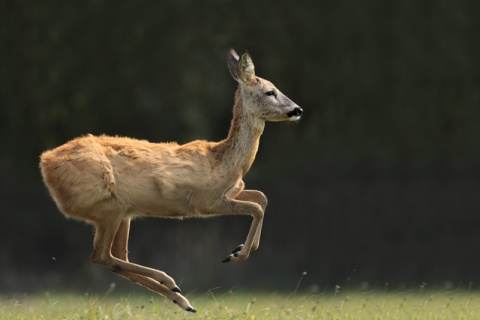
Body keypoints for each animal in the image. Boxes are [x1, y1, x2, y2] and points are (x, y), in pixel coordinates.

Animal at [42, 48, 304, 312]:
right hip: (108, 206)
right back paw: (171, 284)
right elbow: (256, 208)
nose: (297, 109)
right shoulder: (206, 201)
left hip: (123, 213)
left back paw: (182, 299)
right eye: (270, 91)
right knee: (102, 255)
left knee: (116, 256)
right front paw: (236, 255)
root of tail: (46, 162)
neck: (224, 162)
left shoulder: (232, 191)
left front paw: (241, 248)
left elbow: (262, 198)